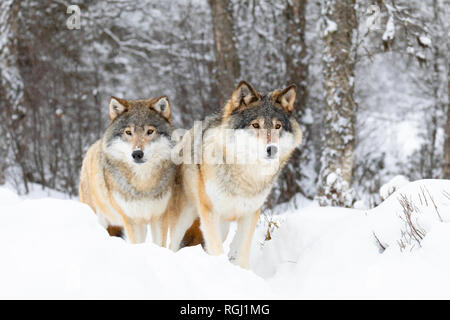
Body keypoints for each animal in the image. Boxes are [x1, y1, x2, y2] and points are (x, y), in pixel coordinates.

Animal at [78, 95, 175, 245]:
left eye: (150, 131)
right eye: (128, 132)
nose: (137, 154)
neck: (143, 183)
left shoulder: (159, 217)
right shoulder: (132, 220)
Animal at [169, 80, 302, 268]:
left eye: (278, 126)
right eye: (255, 125)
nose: (272, 149)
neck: (245, 176)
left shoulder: (250, 214)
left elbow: (241, 252)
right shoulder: (210, 213)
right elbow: (216, 249)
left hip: (223, 226)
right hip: (184, 219)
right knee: (171, 244)